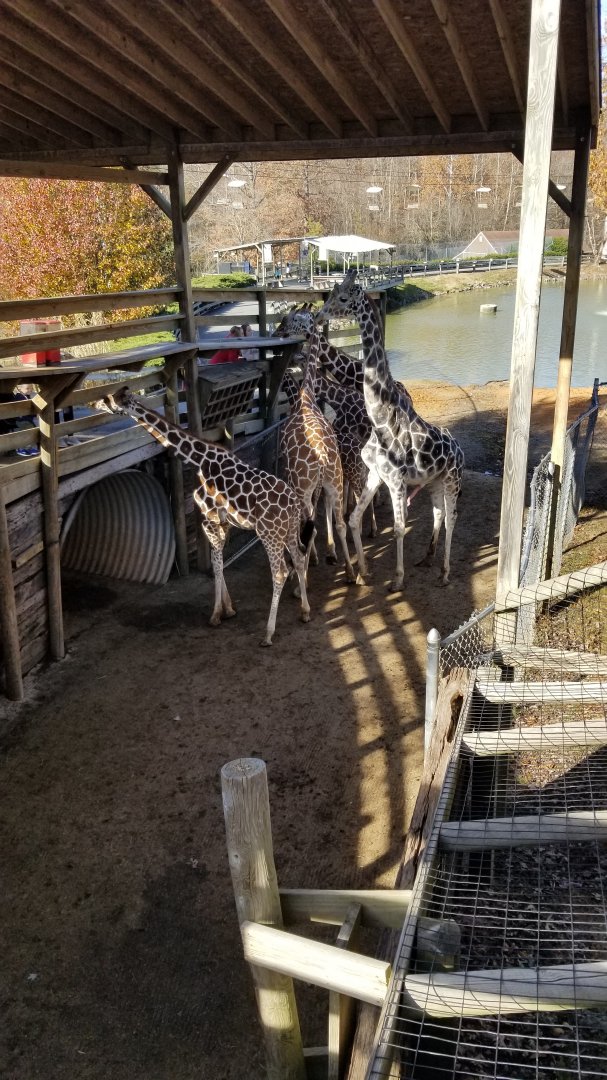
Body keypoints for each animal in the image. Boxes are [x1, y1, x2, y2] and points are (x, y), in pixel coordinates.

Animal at [94, 387, 315, 646]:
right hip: (288, 531)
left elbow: (216, 565)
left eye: (109, 399)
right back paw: (305, 612)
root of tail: (293, 505)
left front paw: (217, 614)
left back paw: (268, 633)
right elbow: (218, 562)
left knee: (280, 572)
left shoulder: (209, 517)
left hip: (269, 534)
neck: (198, 459)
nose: (95, 404)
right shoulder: (223, 522)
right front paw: (228, 609)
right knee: (298, 559)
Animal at [279, 330, 356, 584]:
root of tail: (322, 459)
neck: (306, 396)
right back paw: (351, 572)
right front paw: (331, 552)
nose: (280, 333)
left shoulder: (297, 483)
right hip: (335, 479)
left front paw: (317, 557)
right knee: (341, 522)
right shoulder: (322, 485)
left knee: (310, 522)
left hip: (305, 486)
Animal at [317, 270, 464, 589]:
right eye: (330, 294)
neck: (381, 419)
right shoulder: (376, 474)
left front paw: (397, 580)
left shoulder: (396, 481)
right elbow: (353, 519)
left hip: (452, 479)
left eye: (342, 298)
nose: (320, 315)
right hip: (433, 481)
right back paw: (428, 559)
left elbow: (398, 528)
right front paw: (362, 572)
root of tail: (459, 448)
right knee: (438, 513)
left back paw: (445, 572)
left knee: (452, 518)